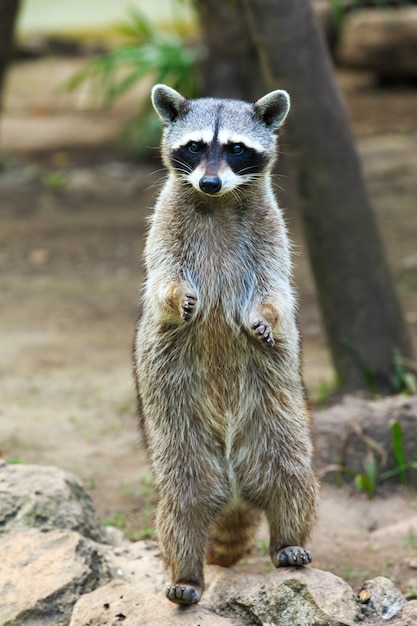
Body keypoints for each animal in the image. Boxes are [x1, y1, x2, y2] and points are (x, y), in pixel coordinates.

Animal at [133, 84, 318, 604]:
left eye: (236, 148)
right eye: (195, 146)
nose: (211, 183)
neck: (216, 202)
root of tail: (234, 492)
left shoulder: (272, 229)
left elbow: (276, 289)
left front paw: (265, 315)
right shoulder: (164, 225)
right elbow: (163, 280)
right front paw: (177, 297)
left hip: (278, 424)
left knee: (293, 481)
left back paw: (289, 541)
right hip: (176, 438)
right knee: (180, 507)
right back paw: (186, 573)